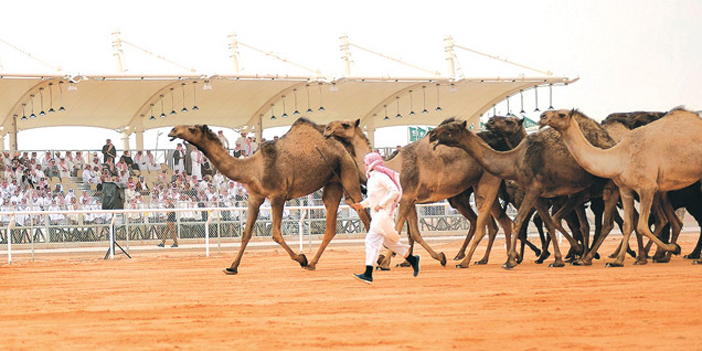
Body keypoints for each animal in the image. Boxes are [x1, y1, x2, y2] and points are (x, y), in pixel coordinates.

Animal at [168, 119, 374, 276]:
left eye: (192, 129)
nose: (173, 129)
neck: (253, 168)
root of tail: (347, 152)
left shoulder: (278, 195)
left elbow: (275, 233)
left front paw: (301, 258)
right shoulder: (255, 197)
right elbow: (246, 233)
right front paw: (232, 267)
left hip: (347, 173)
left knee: (363, 212)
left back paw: (375, 261)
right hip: (333, 183)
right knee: (332, 225)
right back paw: (313, 263)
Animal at [324, 117, 528, 268]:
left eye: (345, 124)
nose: (326, 128)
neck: (392, 166)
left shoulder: (407, 198)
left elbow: (398, 230)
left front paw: (386, 262)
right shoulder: (409, 200)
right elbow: (414, 233)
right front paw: (439, 256)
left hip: (486, 185)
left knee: (484, 225)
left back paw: (468, 261)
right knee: (501, 222)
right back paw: (501, 258)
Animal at [426, 113, 620, 270]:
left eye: (450, 128)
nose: (431, 133)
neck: (515, 160)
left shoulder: (533, 189)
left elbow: (518, 222)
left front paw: (510, 261)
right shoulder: (538, 195)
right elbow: (548, 223)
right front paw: (556, 260)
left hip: (606, 186)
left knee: (605, 223)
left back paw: (595, 257)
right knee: (593, 223)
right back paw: (592, 256)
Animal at [540, 108, 702, 266]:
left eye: (561, 114)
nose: (542, 117)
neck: (620, 156)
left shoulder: (647, 187)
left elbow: (641, 225)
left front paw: (674, 248)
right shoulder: (625, 189)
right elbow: (628, 225)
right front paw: (618, 261)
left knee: (664, 220)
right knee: (674, 222)